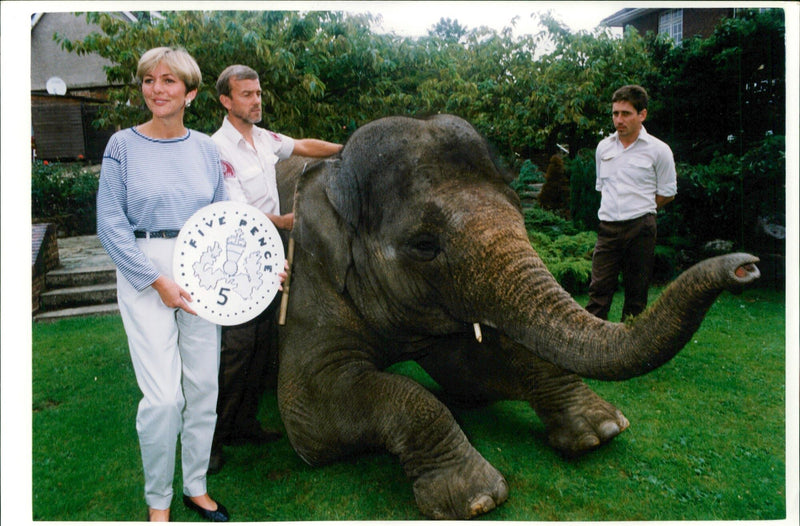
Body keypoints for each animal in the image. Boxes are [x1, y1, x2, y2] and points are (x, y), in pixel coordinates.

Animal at [272, 113, 760, 520]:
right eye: (424, 245)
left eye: (521, 216)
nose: (747, 267)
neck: (332, 175)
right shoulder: (307, 281)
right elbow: (311, 419)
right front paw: (479, 498)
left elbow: (466, 376)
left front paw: (601, 430)